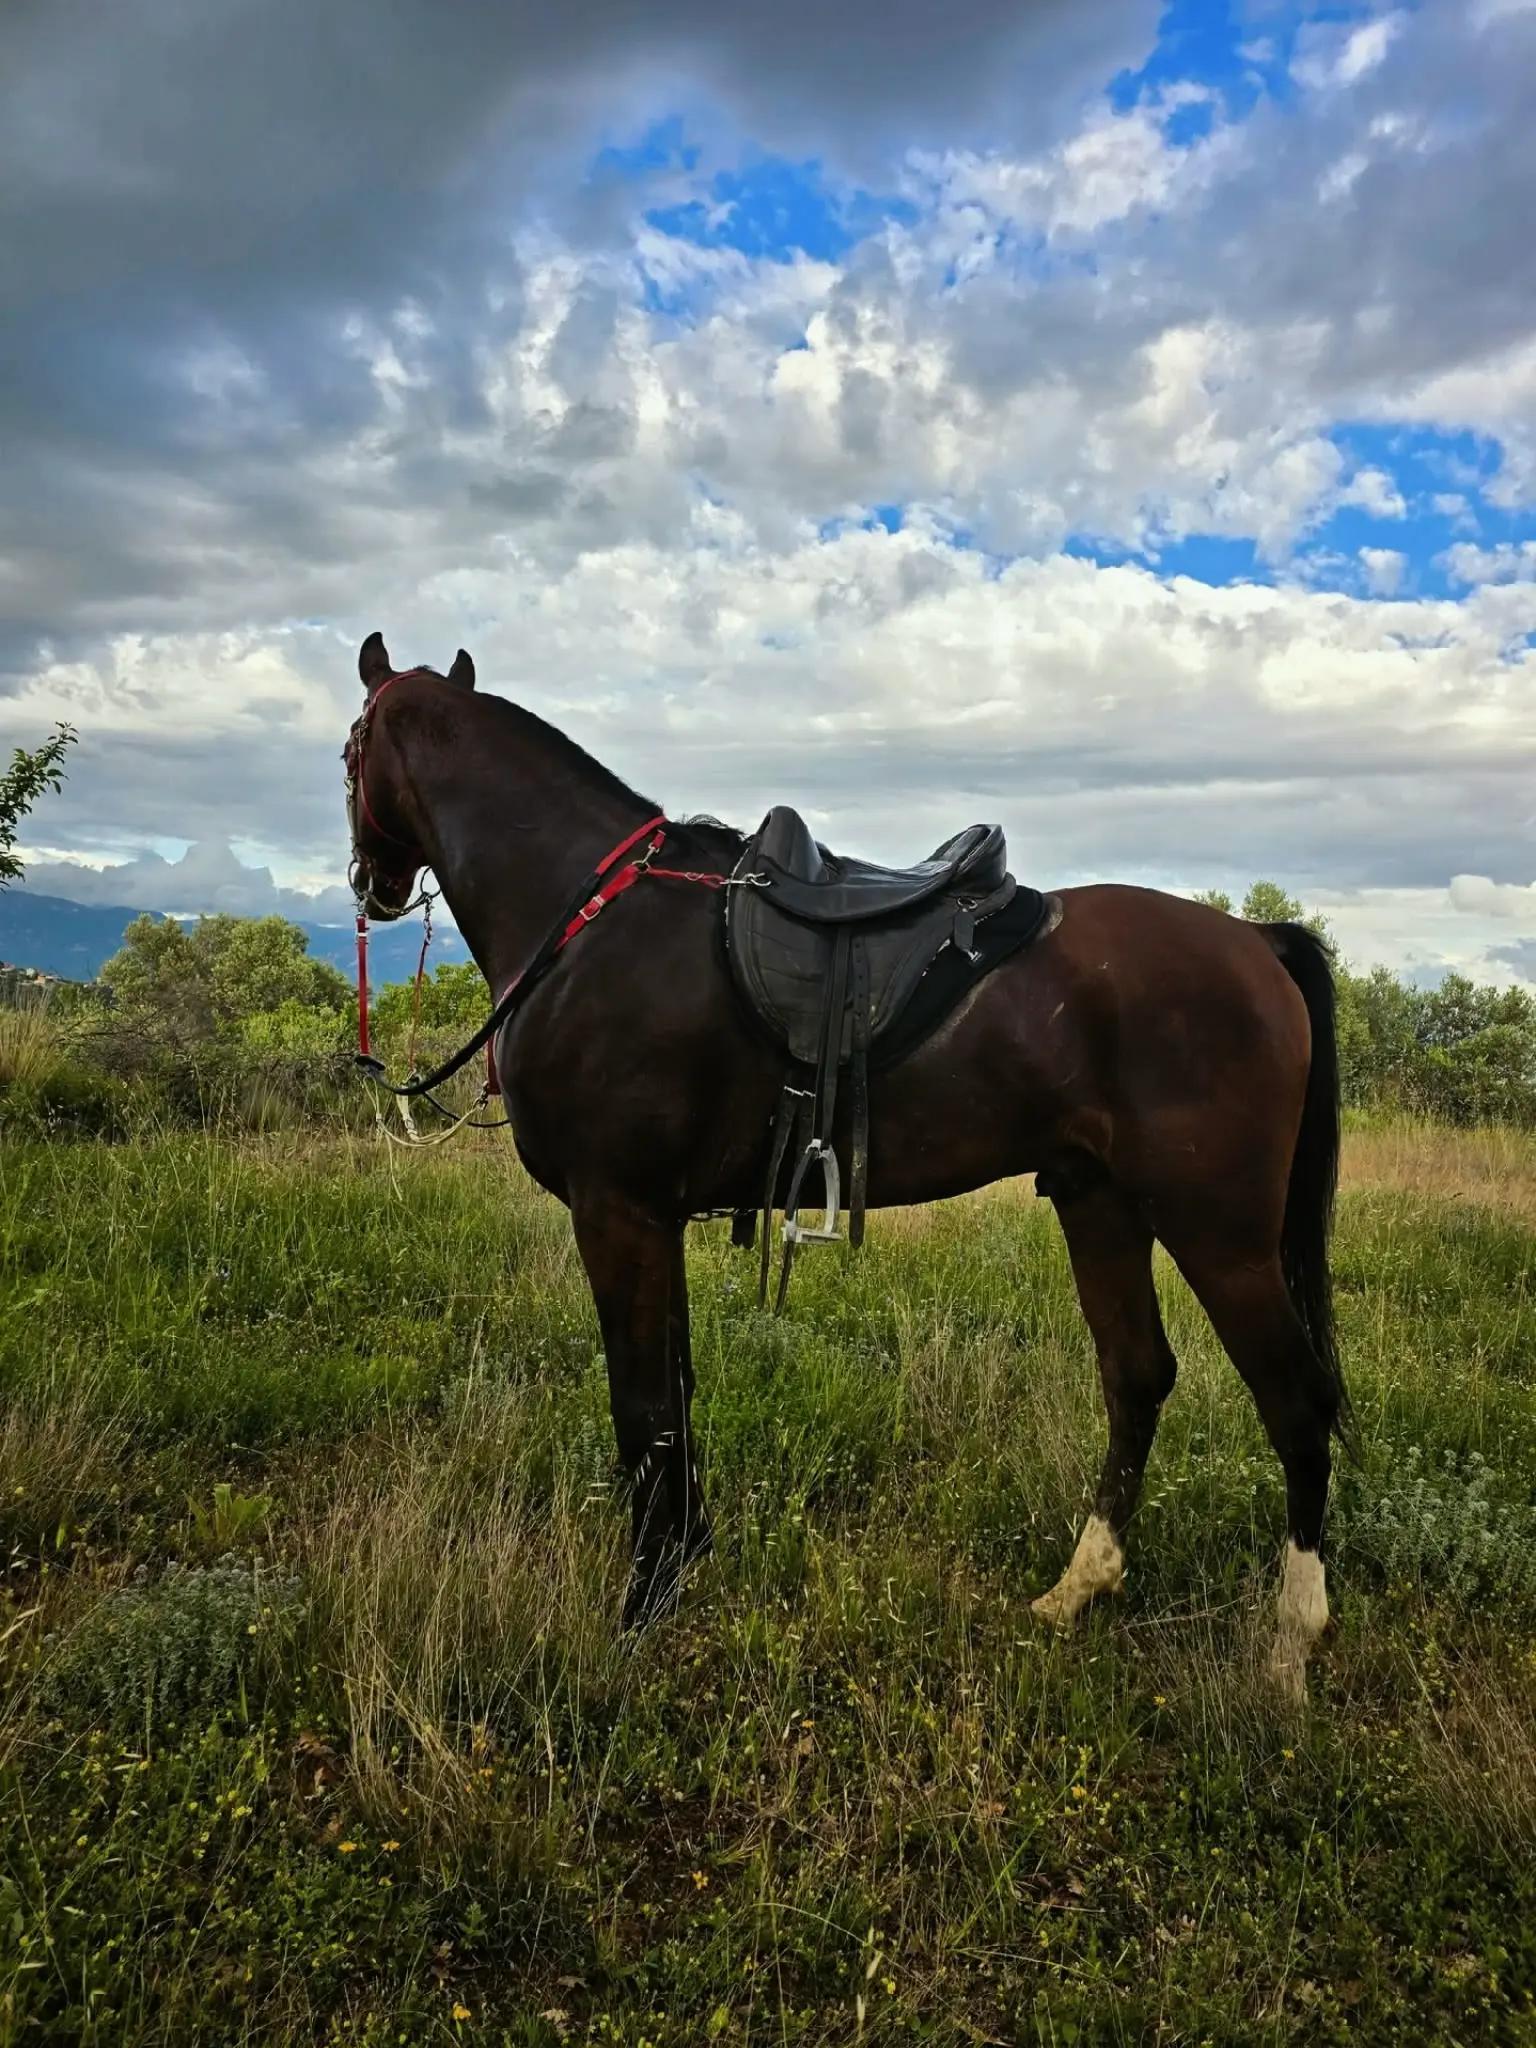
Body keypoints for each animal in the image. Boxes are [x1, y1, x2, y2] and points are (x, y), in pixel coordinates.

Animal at [343, 631, 1347, 1698]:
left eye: (349, 750)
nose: (371, 883)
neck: (589, 919)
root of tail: (1255, 943)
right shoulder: (656, 1217)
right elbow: (675, 1397)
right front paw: (686, 1561)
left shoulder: (617, 1209)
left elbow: (643, 1407)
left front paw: (642, 1606)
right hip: (1102, 1204)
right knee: (1138, 1377)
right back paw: (1079, 1587)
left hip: (1220, 1232)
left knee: (1297, 1402)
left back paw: (1291, 1642)